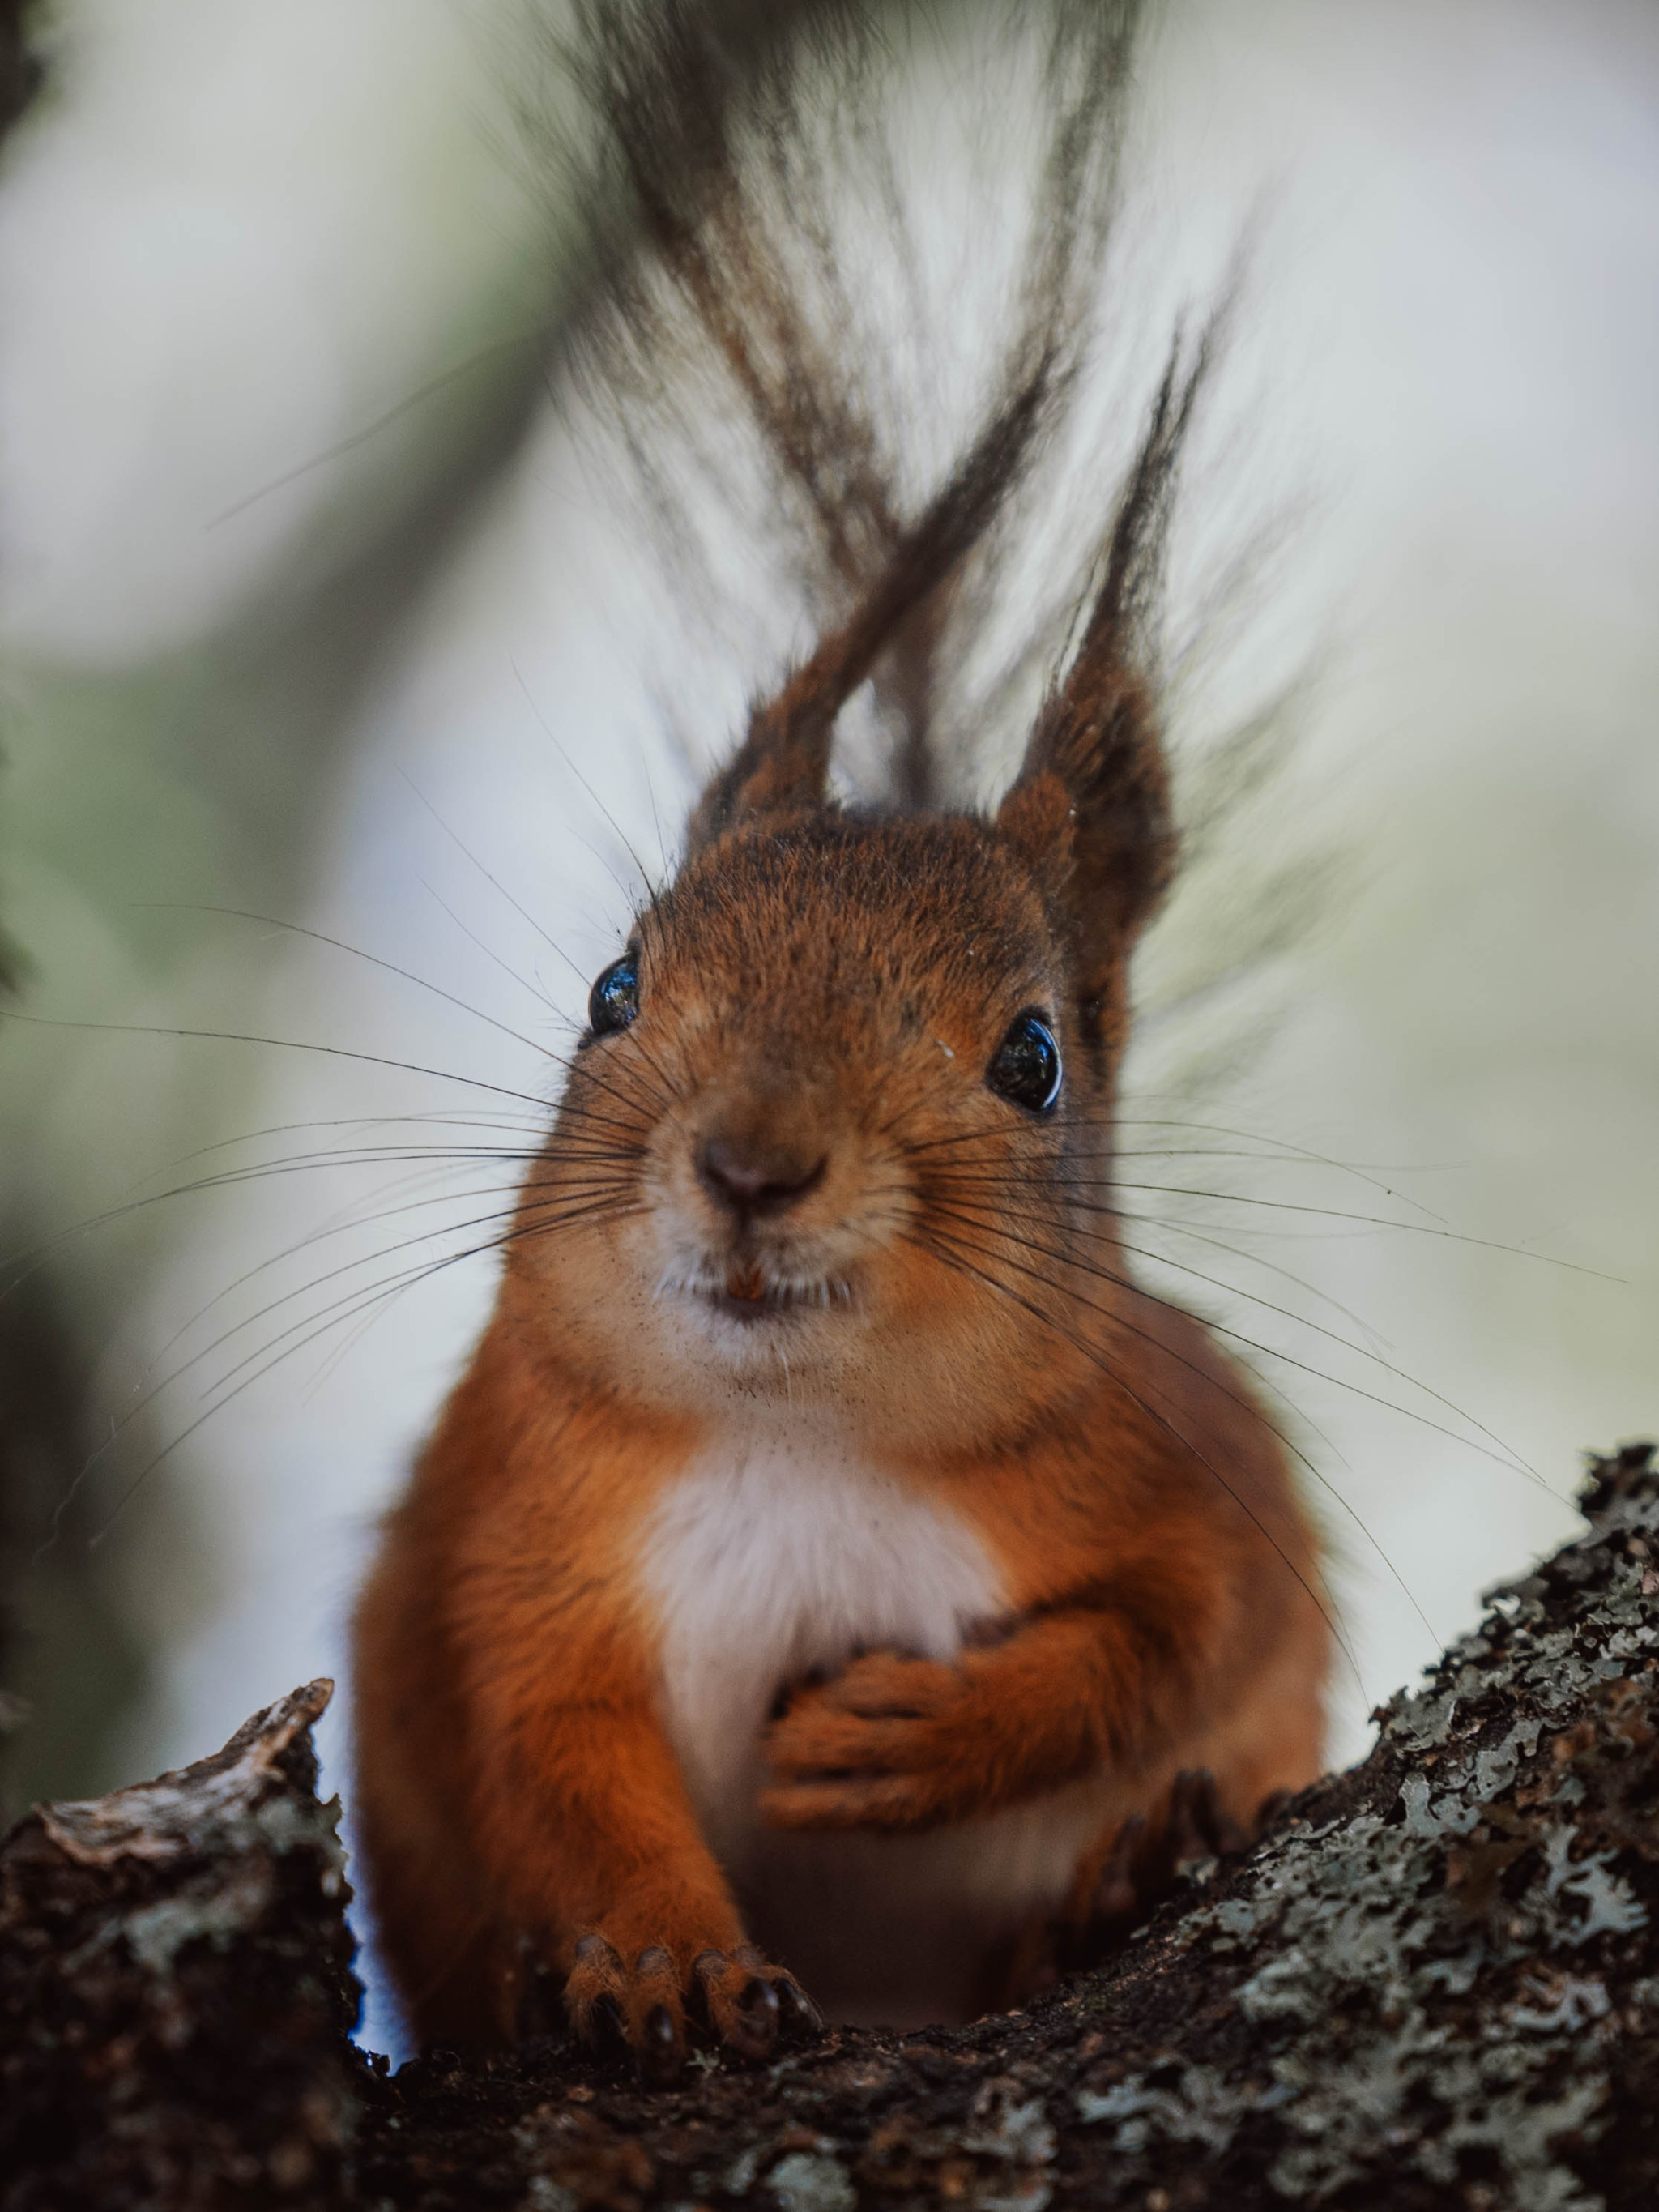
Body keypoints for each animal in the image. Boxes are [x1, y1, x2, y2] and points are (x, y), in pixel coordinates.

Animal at [352, 0, 1336, 2070]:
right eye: (612, 990)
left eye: (1032, 1059)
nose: (749, 1167)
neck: (796, 1439)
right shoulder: (507, 1554)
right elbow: (559, 1769)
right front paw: (660, 1958)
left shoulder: (1184, 1456)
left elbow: (1182, 1630)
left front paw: (923, 1737)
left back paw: (1110, 1887)